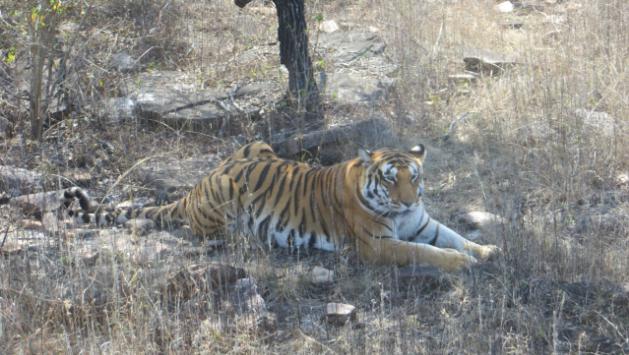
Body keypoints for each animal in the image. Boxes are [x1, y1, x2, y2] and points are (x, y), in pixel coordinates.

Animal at [62, 142, 496, 272]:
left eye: (414, 177)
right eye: (391, 179)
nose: (408, 199)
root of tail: (196, 185)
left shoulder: (423, 224)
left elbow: (454, 236)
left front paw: (486, 250)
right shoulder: (377, 245)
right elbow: (425, 252)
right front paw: (462, 263)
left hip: (257, 146)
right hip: (226, 194)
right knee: (209, 232)